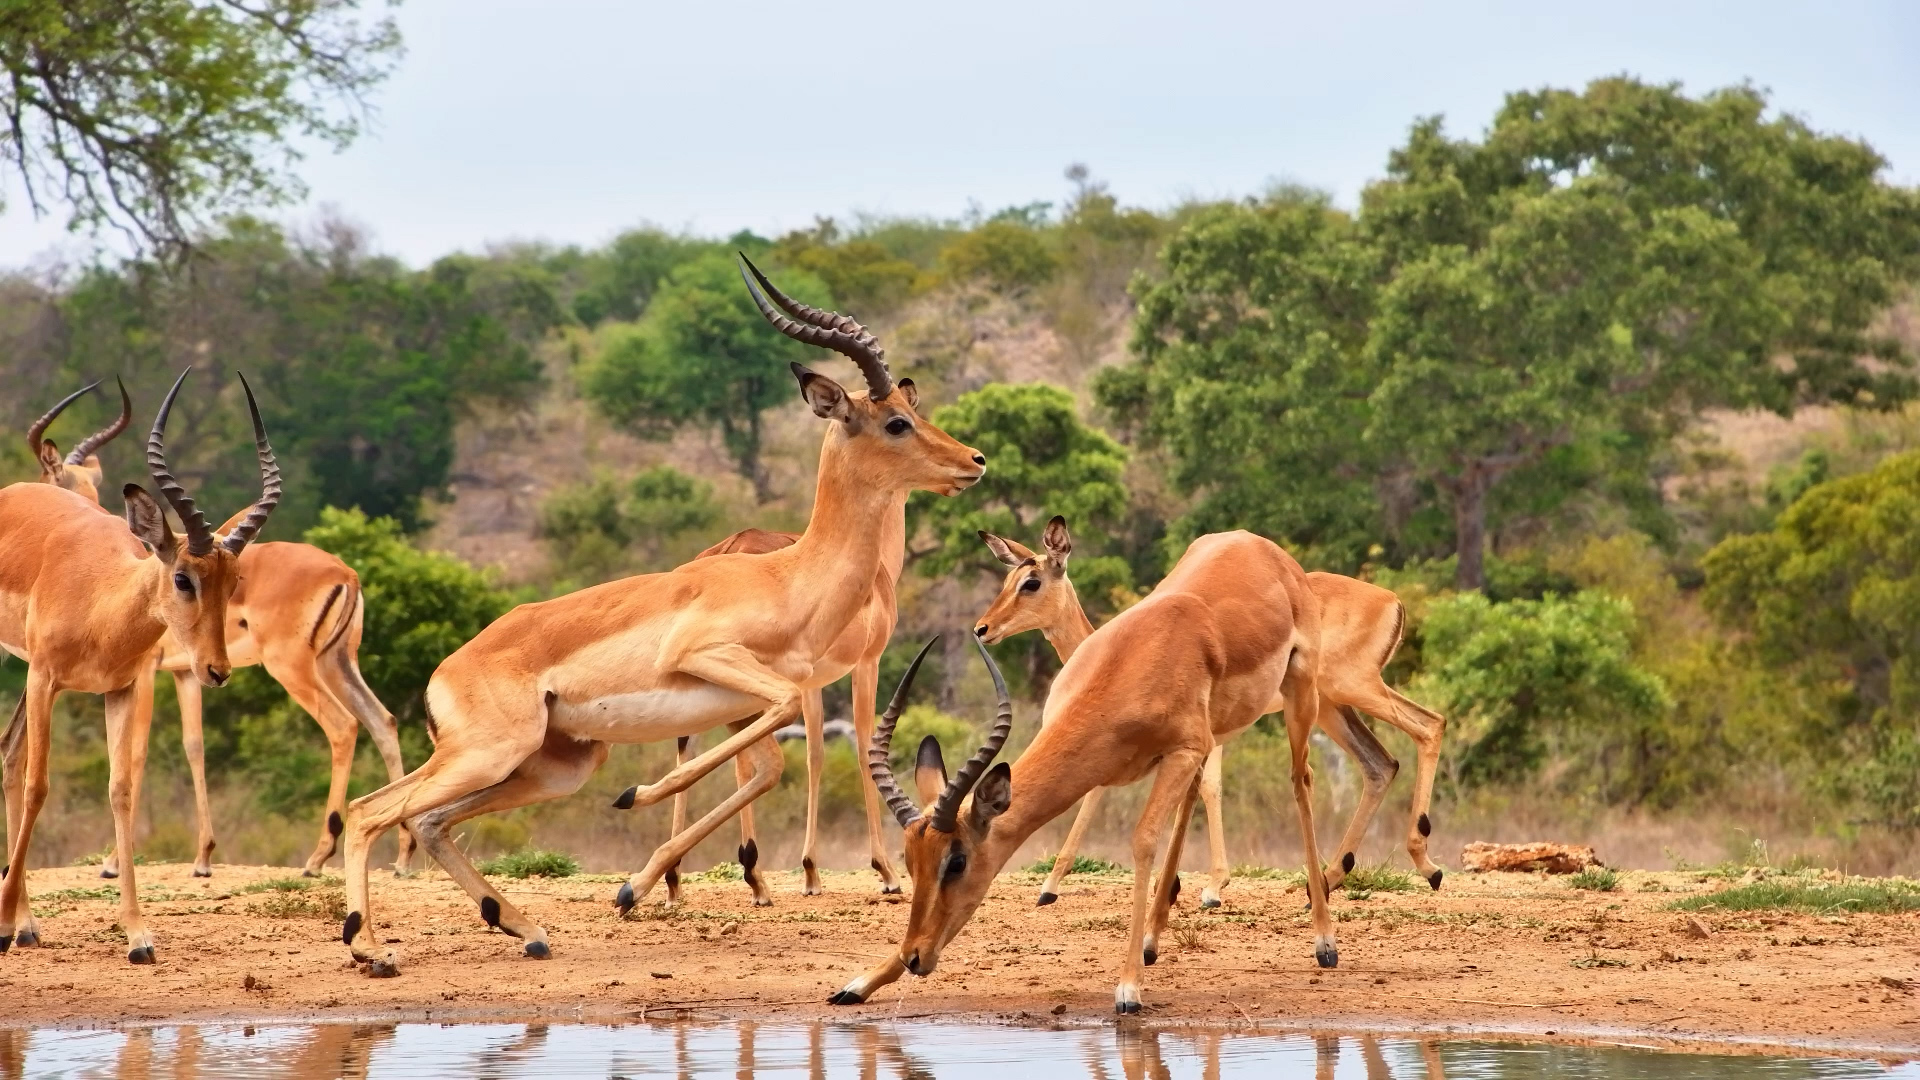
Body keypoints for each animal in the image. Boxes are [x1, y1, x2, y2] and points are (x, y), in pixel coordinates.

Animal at [0, 368, 279, 962]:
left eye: (234, 581)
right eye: (183, 578)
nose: (217, 670)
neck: (99, 601)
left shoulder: (119, 689)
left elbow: (121, 789)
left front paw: (137, 935)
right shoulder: (46, 678)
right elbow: (40, 785)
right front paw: (5, 922)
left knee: (9, 755)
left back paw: (29, 924)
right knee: (19, 767)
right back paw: (18, 921)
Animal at [24, 382, 413, 879]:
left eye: (45, 478)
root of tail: (347, 573)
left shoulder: (145, 671)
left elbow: (137, 751)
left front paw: (112, 862)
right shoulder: (185, 672)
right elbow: (194, 745)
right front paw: (204, 856)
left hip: (292, 667)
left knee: (344, 726)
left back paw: (317, 857)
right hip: (338, 662)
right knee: (382, 721)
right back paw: (403, 856)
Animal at [661, 517, 907, 905]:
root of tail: (734, 545)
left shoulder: (812, 683)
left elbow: (815, 755)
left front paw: (811, 872)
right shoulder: (868, 663)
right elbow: (863, 752)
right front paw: (885, 872)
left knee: (688, 749)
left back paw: (674, 882)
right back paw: (754, 877)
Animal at [835, 530, 1338, 1015]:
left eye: (956, 861)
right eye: (910, 862)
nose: (913, 957)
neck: (1130, 663)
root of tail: (1261, 546)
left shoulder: (1183, 750)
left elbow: (1142, 841)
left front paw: (1129, 988)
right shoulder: (1136, 764)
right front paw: (860, 983)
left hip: (1297, 694)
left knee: (1301, 782)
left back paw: (1324, 943)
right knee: (1198, 799)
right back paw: (1154, 940)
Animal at [975, 517, 1448, 906]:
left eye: (1031, 582)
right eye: (1007, 579)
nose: (983, 628)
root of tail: (1393, 600)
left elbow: (1205, 788)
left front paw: (1208, 888)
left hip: (1351, 688)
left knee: (1430, 724)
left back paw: (1427, 866)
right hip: (1332, 707)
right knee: (1380, 764)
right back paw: (1330, 880)